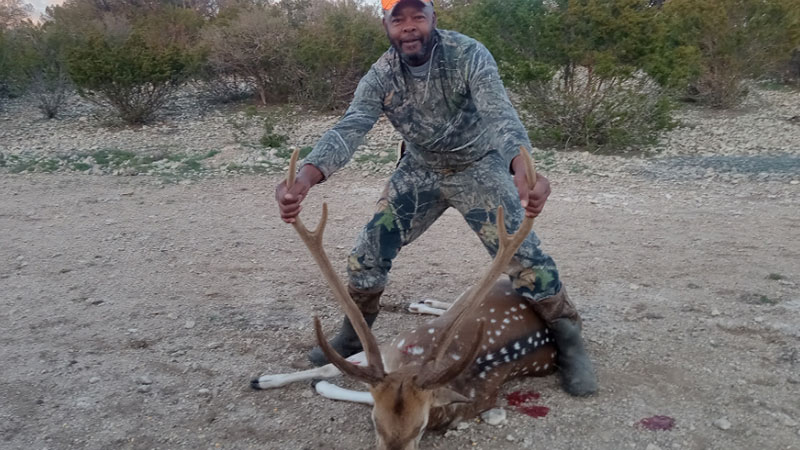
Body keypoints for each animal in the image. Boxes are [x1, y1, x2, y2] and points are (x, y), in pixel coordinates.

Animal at [253, 147, 557, 450]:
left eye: (419, 427)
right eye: (376, 423)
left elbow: (346, 383)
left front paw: (313, 385)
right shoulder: (393, 346)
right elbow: (330, 367)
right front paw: (264, 379)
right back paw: (422, 303)